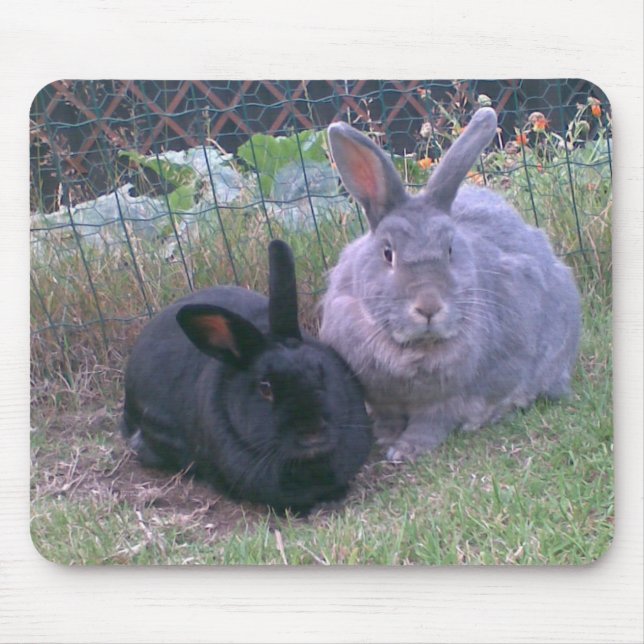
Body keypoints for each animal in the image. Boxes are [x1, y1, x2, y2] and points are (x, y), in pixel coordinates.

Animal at [319, 107, 581, 462]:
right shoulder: (382, 399)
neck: (412, 349)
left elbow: (430, 425)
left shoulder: (446, 403)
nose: (429, 307)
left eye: (450, 249)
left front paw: (405, 451)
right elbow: (388, 419)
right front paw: (385, 440)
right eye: (388, 253)